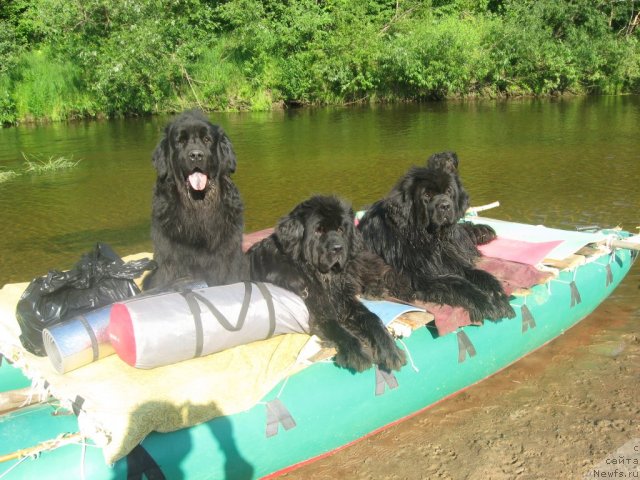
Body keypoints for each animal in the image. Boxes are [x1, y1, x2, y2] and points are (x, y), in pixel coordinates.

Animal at [142, 110, 245, 290]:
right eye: (180, 141)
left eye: (207, 139)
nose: (196, 155)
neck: (198, 204)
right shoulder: (170, 260)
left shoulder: (230, 256)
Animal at [248, 194, 408, 372]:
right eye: (318, 230)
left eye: (340, 229)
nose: (338, 248)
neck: (323, 278)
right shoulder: (319, 313)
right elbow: (340, 331)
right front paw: (358, 353)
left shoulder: (345, 300)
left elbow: (372, 318)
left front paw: (390, 349)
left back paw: (376, 289)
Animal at [360, 165, 516, 322]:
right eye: (427, 195)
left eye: (448, 191)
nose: (445, 206)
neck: (429, 239)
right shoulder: (416, 277)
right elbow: (456, 282)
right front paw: (484, 302)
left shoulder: (451, 261)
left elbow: (480, 274)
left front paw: (497, 295)